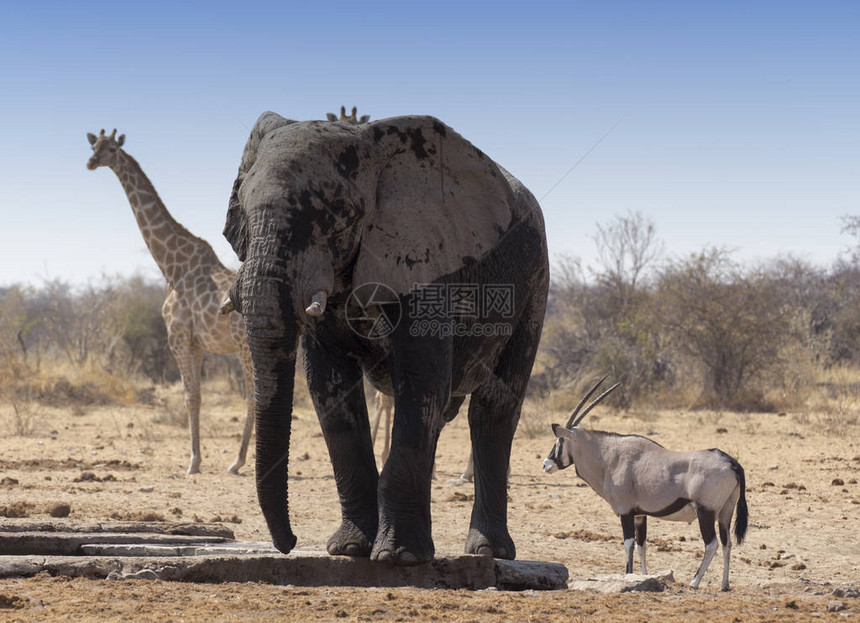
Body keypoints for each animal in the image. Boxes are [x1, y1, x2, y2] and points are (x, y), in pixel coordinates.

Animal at [86, 129, 254, 476]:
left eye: (112, 149)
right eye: (93, 145)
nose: (91, 162)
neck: (171, 267)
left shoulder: (176, 338)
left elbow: (189, 398)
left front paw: (192, 462)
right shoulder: (196, 343)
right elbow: (198, 397)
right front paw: (197, 459)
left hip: (245, 344)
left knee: (255, 396)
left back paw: (237, 462)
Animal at [223, 111, 552, 564]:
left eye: (340, 215)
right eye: (243, 210)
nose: (288, 544)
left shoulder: (427, 257)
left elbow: (421, 380)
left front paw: (399, 558)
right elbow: (329, 388)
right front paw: (349, 549)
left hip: (536, 280)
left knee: (493, 410)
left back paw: (489, 552)